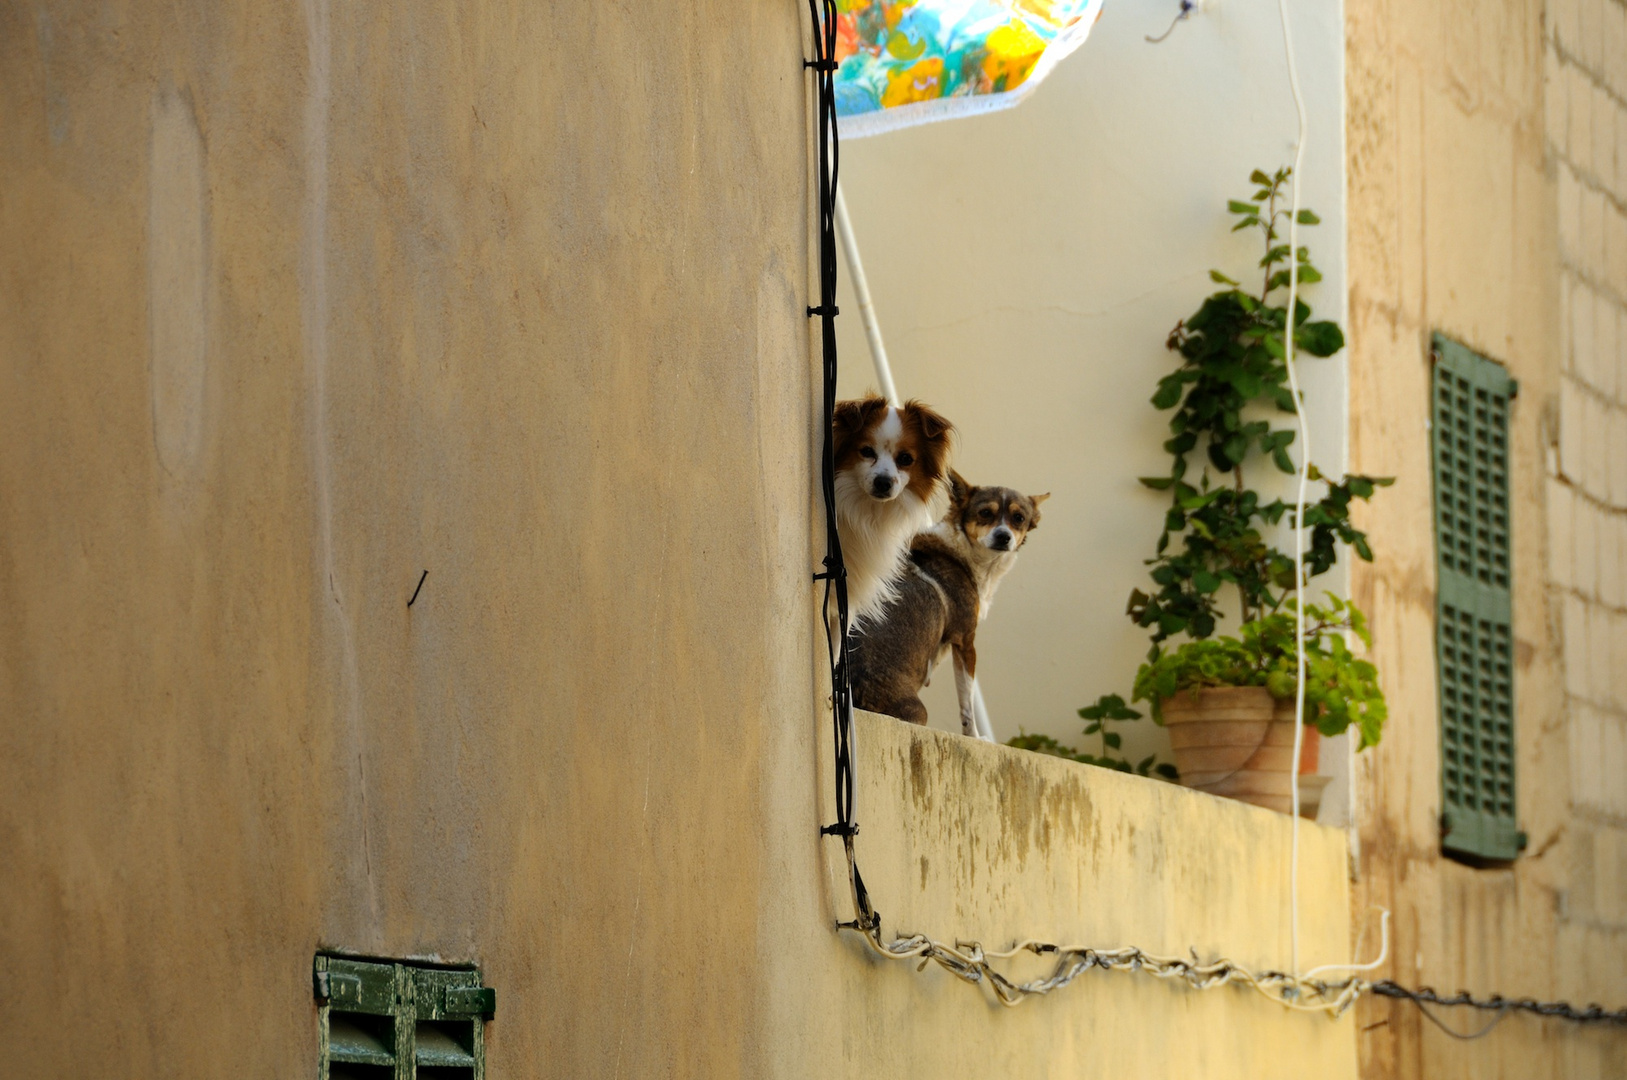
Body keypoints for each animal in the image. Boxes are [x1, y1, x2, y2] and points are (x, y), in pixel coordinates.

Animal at [846, 471, 1047, 735]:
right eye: (985, 513)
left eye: (1019, 518)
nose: (1003, 536)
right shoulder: (965, 641)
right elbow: (967, 704)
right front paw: (977, 737)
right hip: (917, 711)